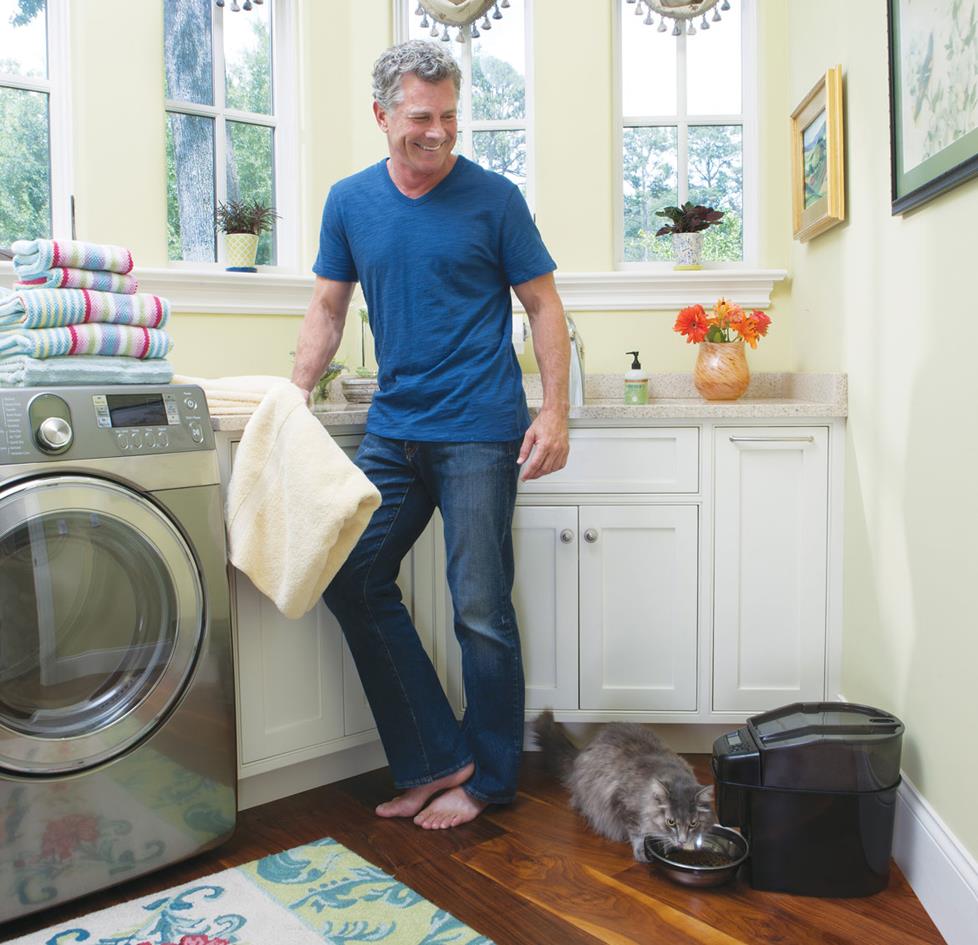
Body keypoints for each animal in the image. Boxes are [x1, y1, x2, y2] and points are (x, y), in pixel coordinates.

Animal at [528, 712, 712, 860]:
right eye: (671, 822)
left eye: (693, 824)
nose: (682, 841)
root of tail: (583, 750)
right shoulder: (624, 805)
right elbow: (637, 834)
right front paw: (642, 852)